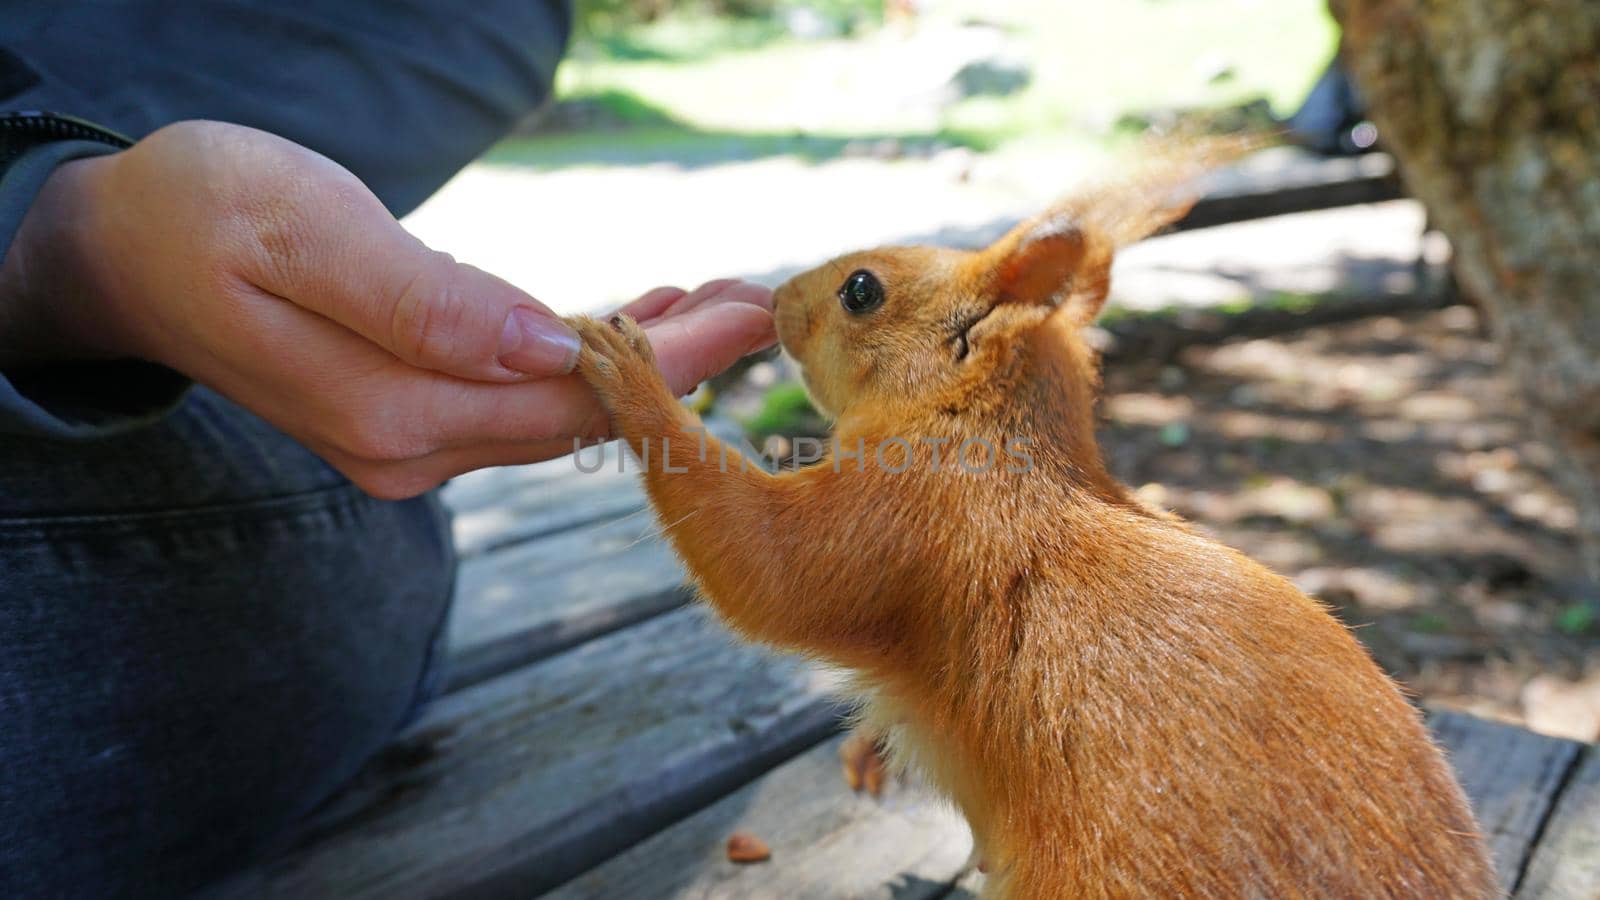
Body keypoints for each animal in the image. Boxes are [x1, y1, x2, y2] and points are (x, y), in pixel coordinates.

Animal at [566, 156, 1497, 896]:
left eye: (861, 291)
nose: (773, 299)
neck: (980, 424)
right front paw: (868, 754)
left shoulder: (905, 515)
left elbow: (768, 566)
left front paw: (630, 372)